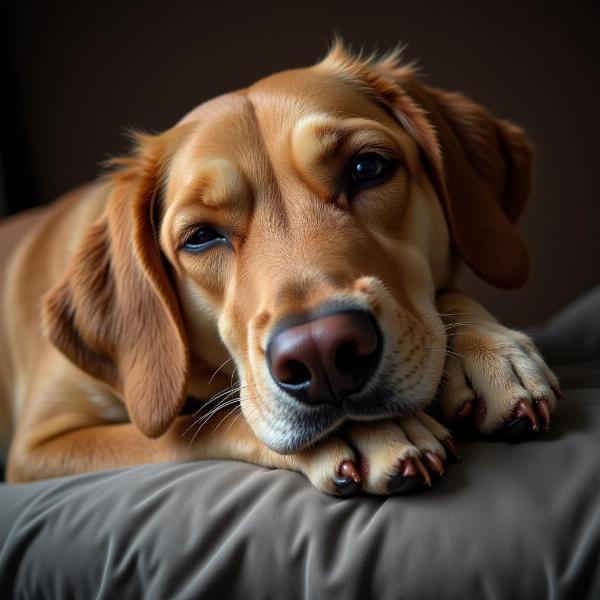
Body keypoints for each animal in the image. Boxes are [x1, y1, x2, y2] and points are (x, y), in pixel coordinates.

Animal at [2, 39, 560, 494]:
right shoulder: (39, 448)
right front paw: (370, 431)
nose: (321, 354)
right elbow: (198, 425)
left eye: (367, 168)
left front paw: (488, 348)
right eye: (200, 237)